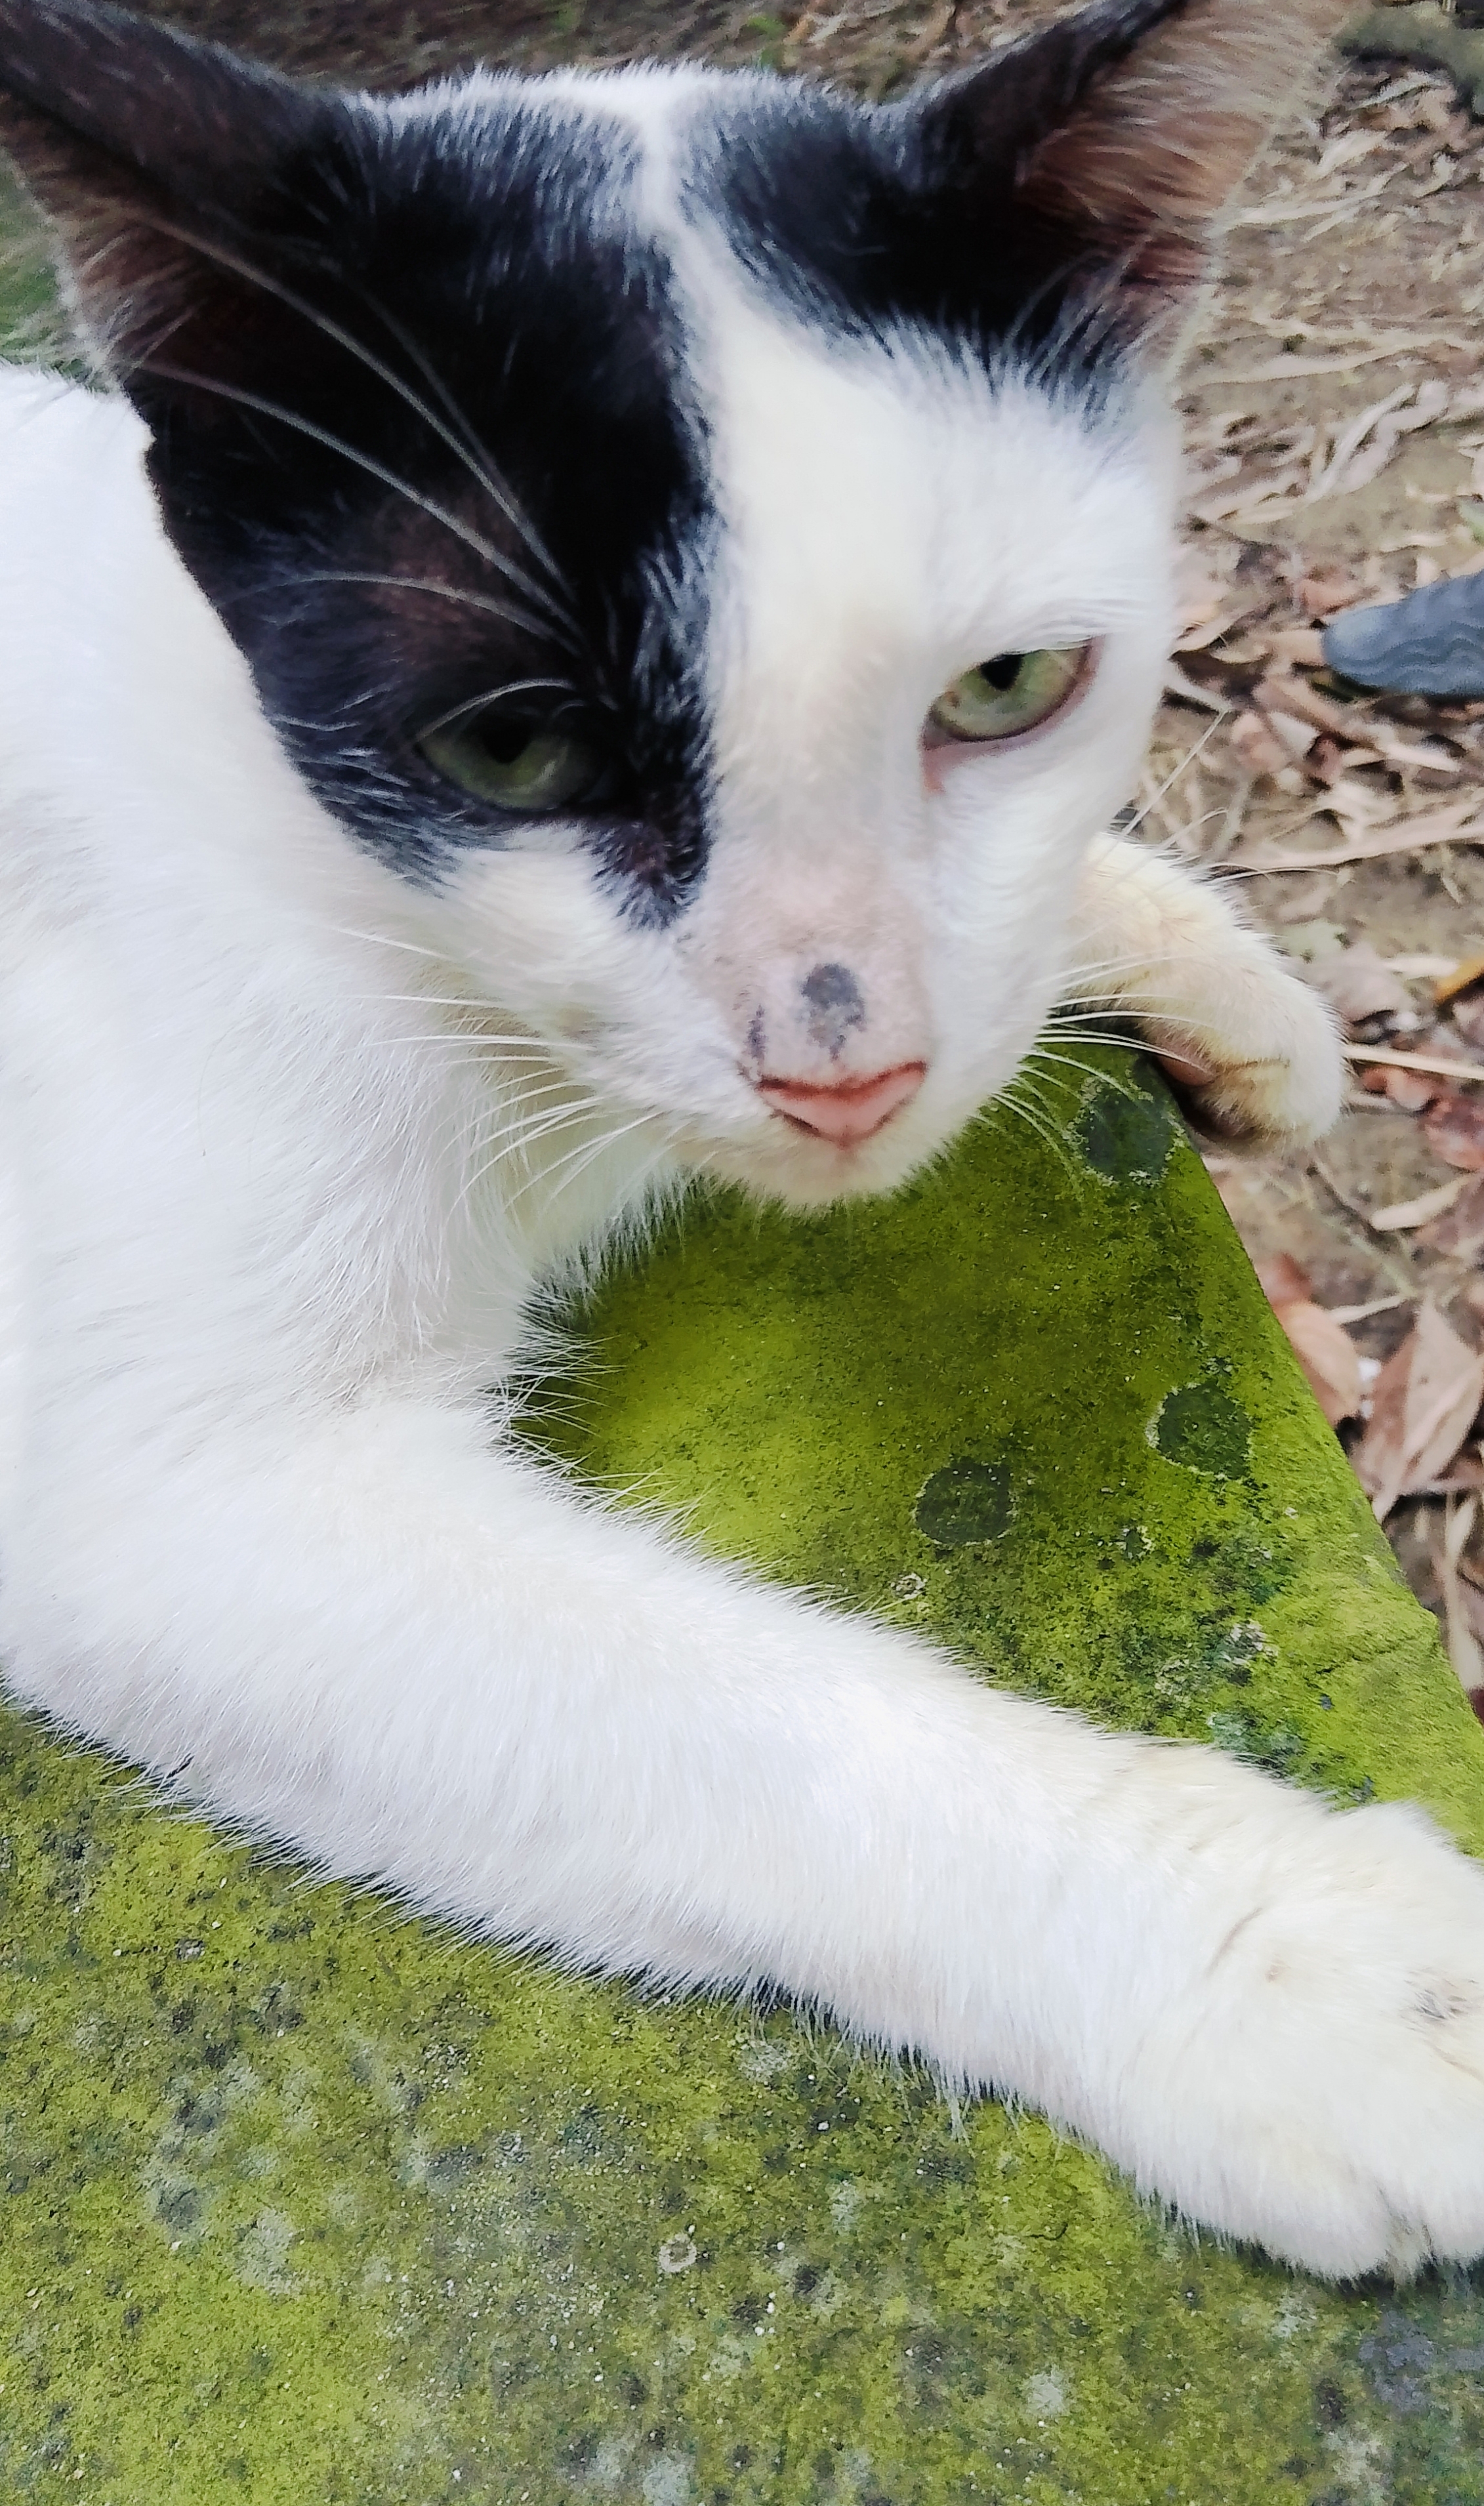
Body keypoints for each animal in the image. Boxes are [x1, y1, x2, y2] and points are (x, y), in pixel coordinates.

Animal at [0, 0, 1481, 2284]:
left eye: (1008, 688)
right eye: (511, 746)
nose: (838, 1065)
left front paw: (1217, 987)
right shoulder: (158, 1490)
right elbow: (750, 1725)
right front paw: (1290, 1959)